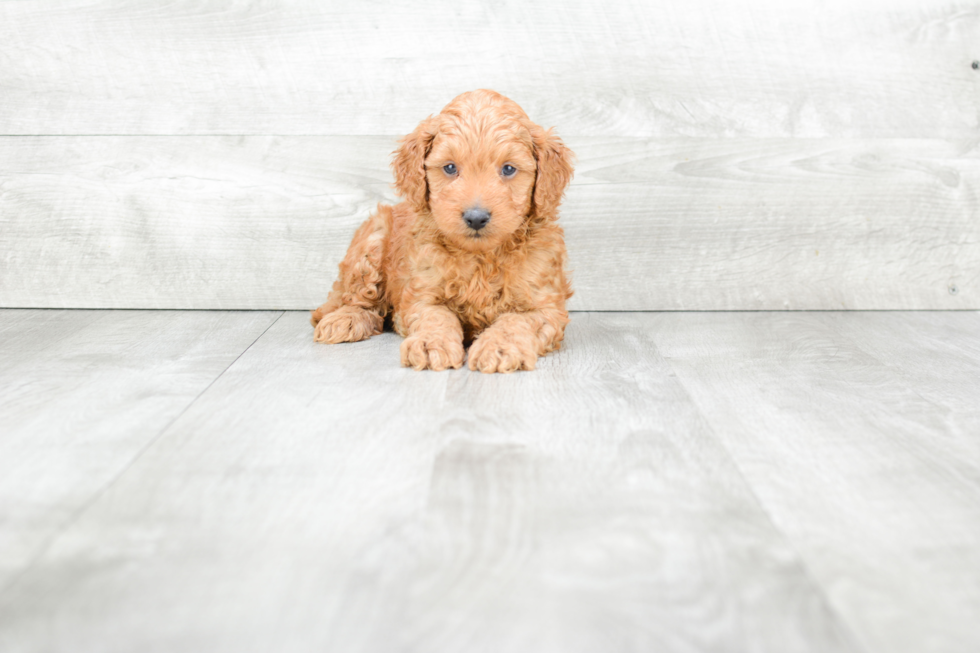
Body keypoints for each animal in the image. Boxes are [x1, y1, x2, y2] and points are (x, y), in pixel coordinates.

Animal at [312, 89, 576, 372]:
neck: (480, 258)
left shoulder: (545, 307)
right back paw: (345, 320)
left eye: (508, 169)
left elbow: (515, 322)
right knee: (360, 301)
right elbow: (436, 316)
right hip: (372, 241)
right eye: (450, 167)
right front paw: (430, 343)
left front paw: (499, 347)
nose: (476, 217)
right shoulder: (420, 294)